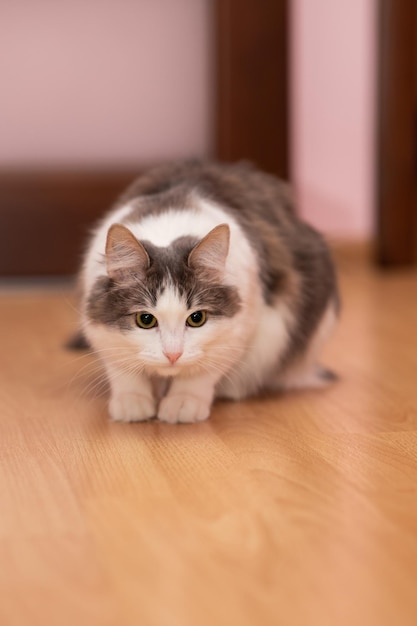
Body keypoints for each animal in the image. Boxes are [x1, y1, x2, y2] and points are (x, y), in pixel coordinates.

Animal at [77, 161, 338, 424]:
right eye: (146, 320)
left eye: (197, 318)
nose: (173, 355)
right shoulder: (102, 334)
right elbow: (123, 373)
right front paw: (132, 403)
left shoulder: (239, 330)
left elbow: (200, 373)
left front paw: (183, 403)